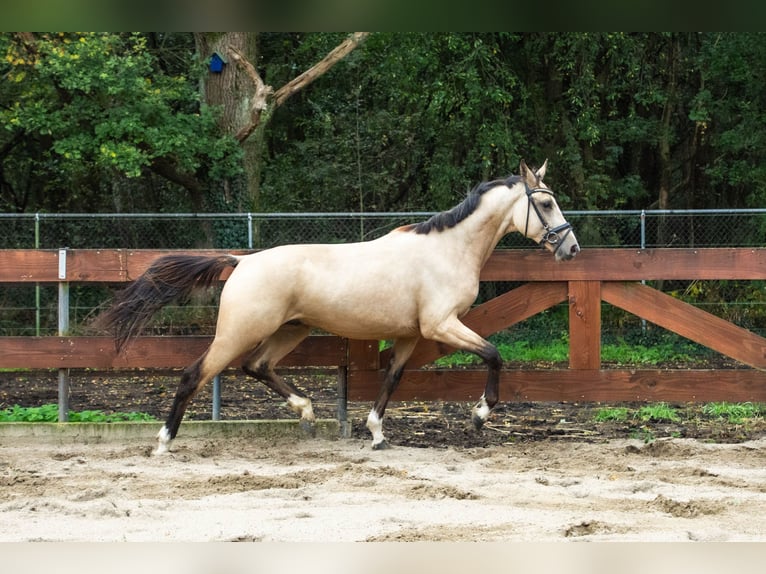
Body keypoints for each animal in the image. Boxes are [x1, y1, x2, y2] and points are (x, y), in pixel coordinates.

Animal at [93, 161, 580, 454]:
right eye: (546, 202)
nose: (571, 248)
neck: (448, 249)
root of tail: (242, 261)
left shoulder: (410, 334)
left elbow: (392, 379)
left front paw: (377, 434)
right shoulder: (441, 325)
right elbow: (493, 354)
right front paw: (479, 416)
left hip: (291, 329)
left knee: (257, 366)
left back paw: (307, 413)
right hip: (239, 331)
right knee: (195, 374)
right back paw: (163, 442)